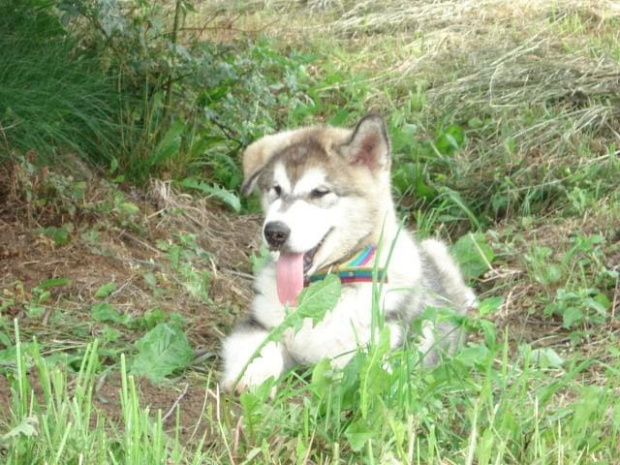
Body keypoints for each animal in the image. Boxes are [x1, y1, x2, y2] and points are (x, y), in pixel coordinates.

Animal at [220, 114, 478, 390]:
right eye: (276, 189)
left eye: (319, 192)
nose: (274, 232)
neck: (329, 285)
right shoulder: (257, 324)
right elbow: (258, 350)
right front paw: (251, 380)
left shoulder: (370, 354)